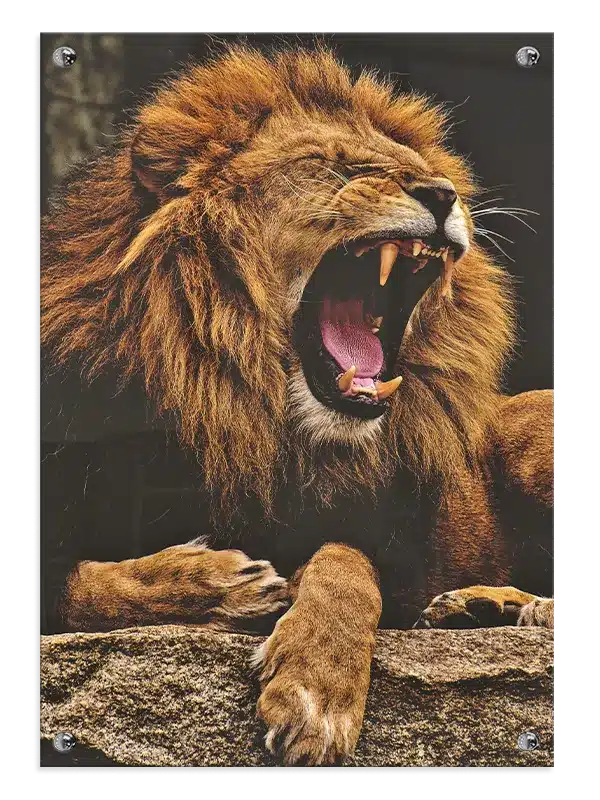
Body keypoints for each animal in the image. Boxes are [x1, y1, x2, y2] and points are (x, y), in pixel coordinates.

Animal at [41, 45, 554, 766]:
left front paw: (315, 692)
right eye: (334, 163)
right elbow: (80, 586)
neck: (248, 418)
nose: (442, 193)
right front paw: (219, 584)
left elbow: (345, 562)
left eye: (426, 170)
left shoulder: (389, 548)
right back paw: (475, 608)